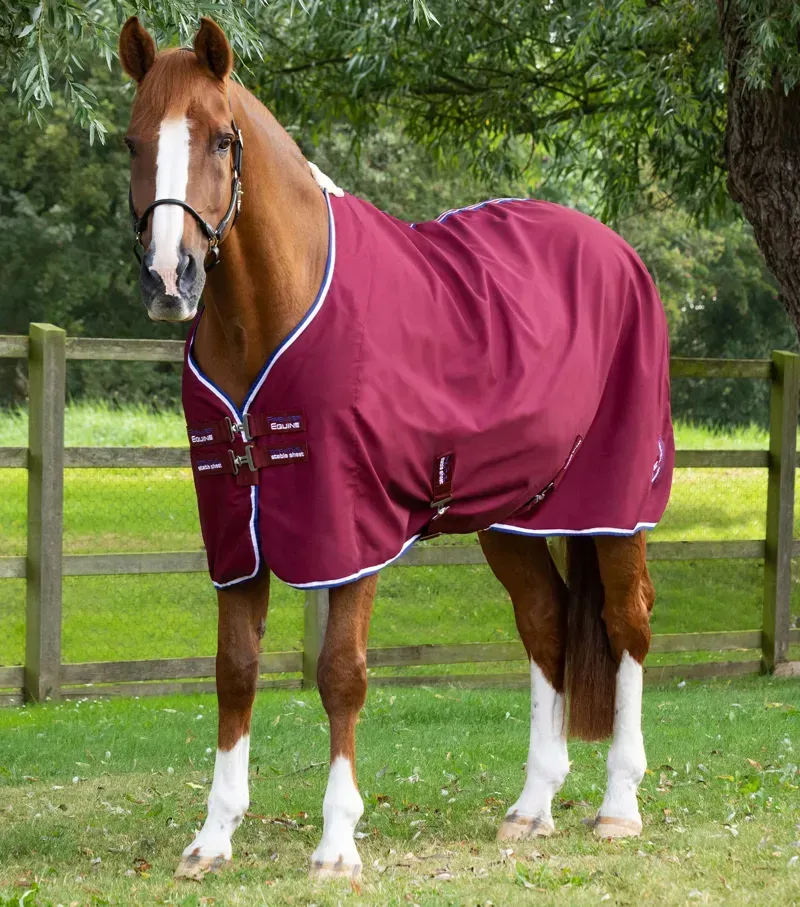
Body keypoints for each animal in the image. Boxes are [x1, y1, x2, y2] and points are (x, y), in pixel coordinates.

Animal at [119, 16, 673, 881]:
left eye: (220, 138)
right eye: (133, 141)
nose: (169, 280)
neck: (273, 309)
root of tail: (618, 253)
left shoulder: (349, 527)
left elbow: (340, 673)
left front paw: (337, 843)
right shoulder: (235, 528)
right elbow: (234, 670)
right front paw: (213, 837)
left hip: (616, 509)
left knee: (626, 623)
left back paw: (618, 806)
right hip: (507, 517)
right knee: (546, 622)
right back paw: (532, 805)